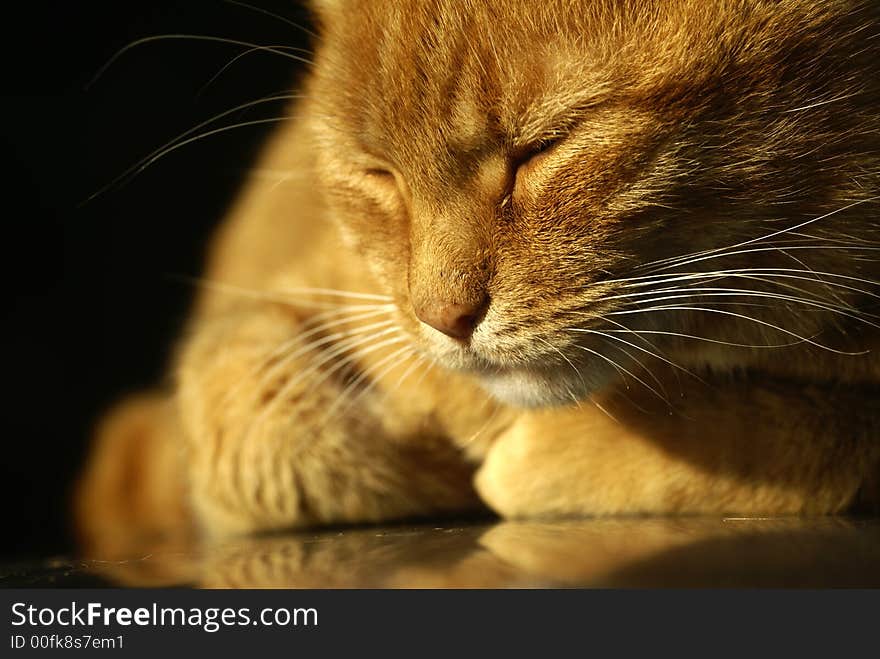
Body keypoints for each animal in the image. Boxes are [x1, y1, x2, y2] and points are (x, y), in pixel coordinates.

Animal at [74, 0, 880, 556]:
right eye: (379, 176)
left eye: (545, 148)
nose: (445, 317)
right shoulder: (255, 330)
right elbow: (249, 428)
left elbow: (827, 433)